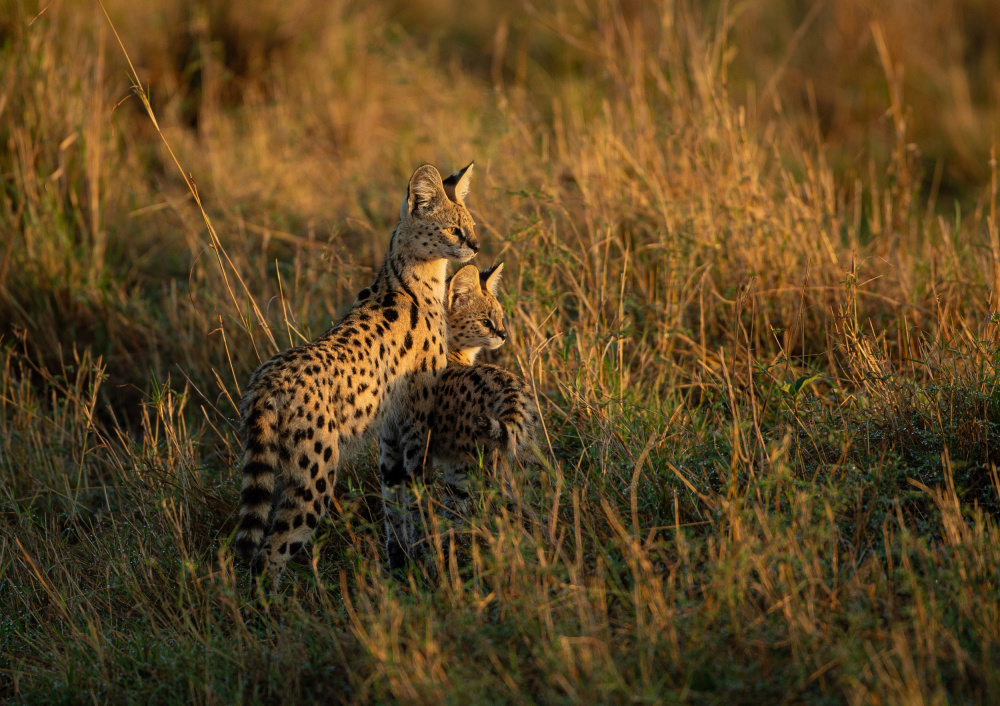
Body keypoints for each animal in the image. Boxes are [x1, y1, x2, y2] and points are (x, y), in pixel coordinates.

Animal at [238, 162, 480, 584]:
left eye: (470, 225)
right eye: (453, 229)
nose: (477, 246)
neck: (414, 280)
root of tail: (268, 380)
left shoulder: (390, 432)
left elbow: (394, 502)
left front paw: (401, 566)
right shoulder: (417, 423)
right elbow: (418, 496)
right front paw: (428, 565)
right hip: (315, 475)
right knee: (271, 551)